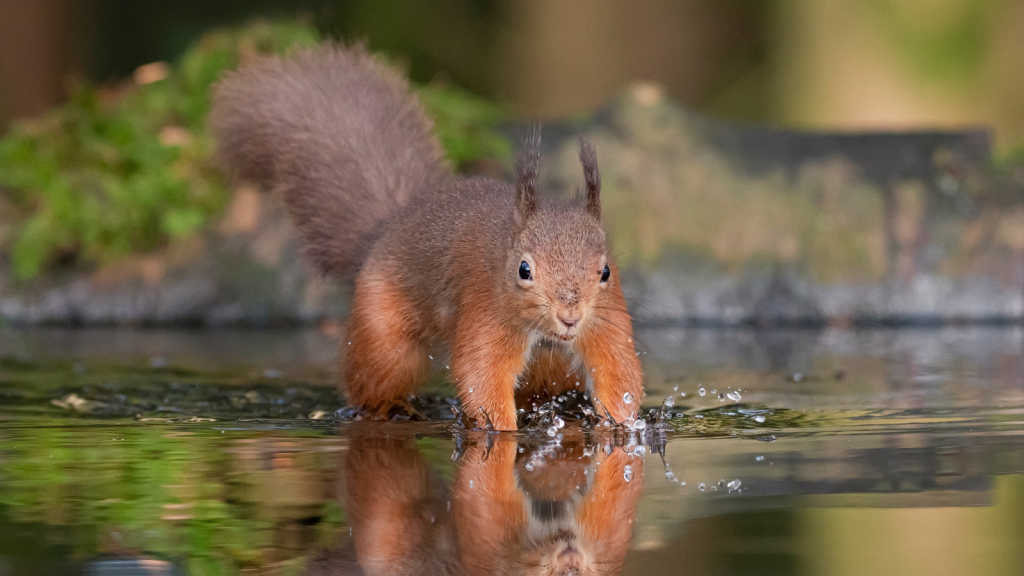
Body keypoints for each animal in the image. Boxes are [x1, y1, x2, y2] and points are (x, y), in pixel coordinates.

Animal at [209, 44, 638, 428]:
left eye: (605, 272)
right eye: (524, 270)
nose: (570, 316)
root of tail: (389, 226)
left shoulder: (607, 320)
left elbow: (618, 369)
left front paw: (621, 423)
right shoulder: (484, 311)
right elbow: (482, 374)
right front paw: (504, 430)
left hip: (550, 369)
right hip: (383, 334)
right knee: (372, 382)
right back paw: (393, 409)